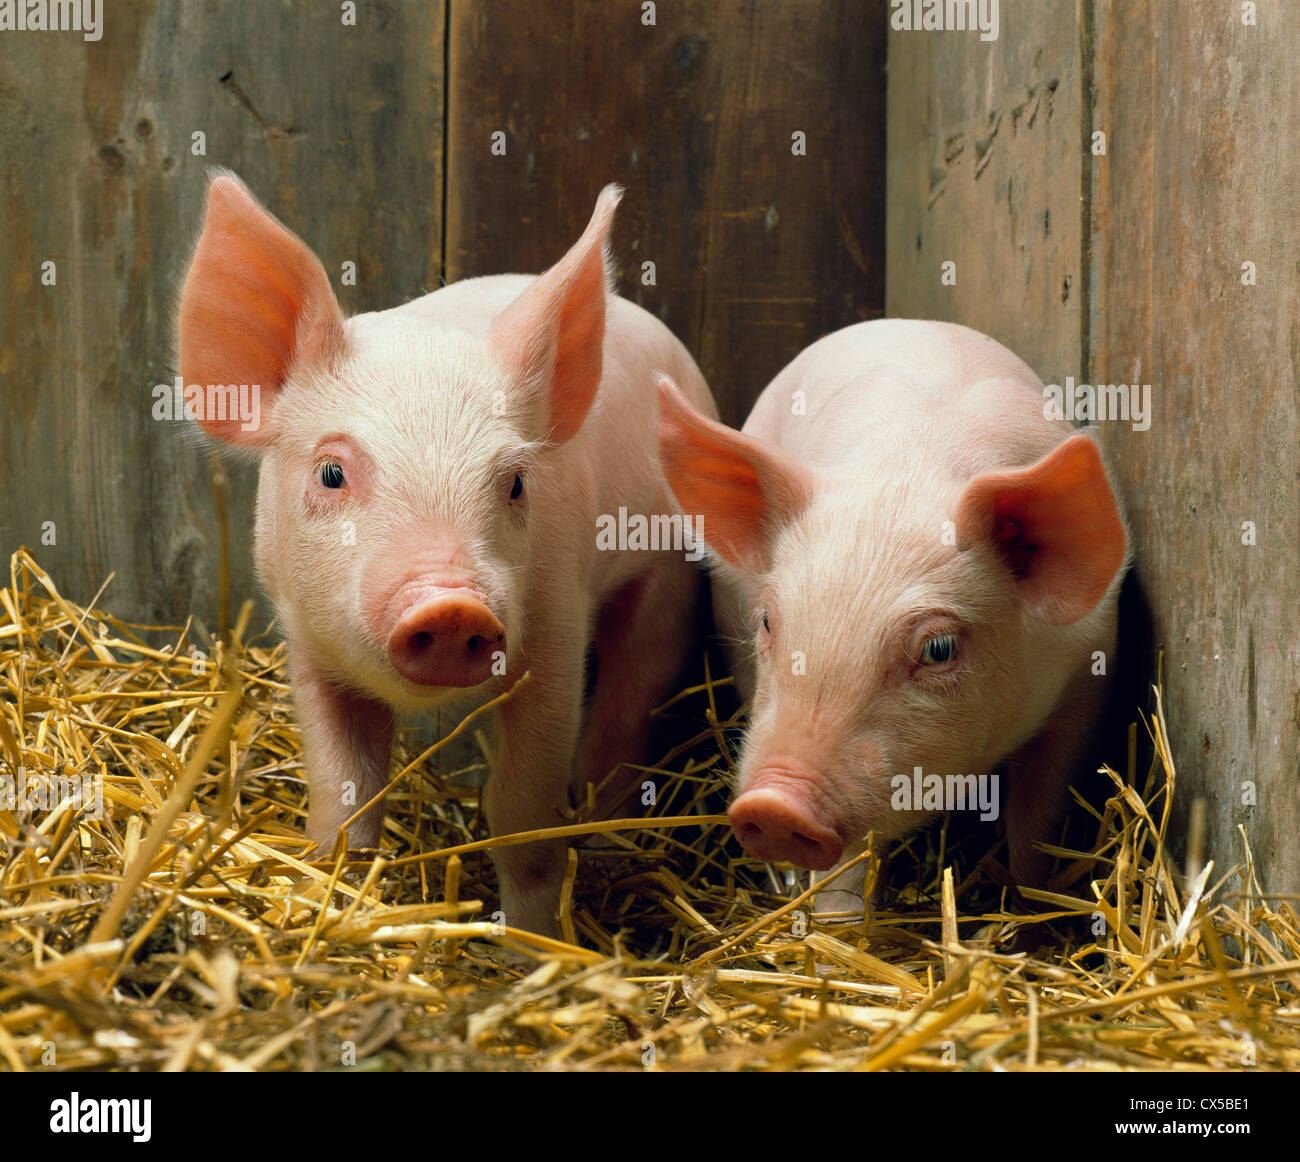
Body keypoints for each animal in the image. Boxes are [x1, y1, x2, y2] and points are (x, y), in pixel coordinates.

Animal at [178, 173, 715, 935]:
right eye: (331, 473)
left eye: (515, 482)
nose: (452, 604)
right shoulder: (306, 642)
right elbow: (343, 797)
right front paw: (339, 900)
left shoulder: (554, 628)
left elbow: (522, 816)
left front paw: (531, 943)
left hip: (668, 575)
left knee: (626, 705)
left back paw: (611, 837)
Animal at [656, 319, 1129, 916]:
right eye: (767, 621)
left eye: (939, 648)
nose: (774, 805)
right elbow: (848, 864)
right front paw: (836, 920)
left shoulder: (1085, 678)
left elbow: (1037, 823)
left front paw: (1032, 912)